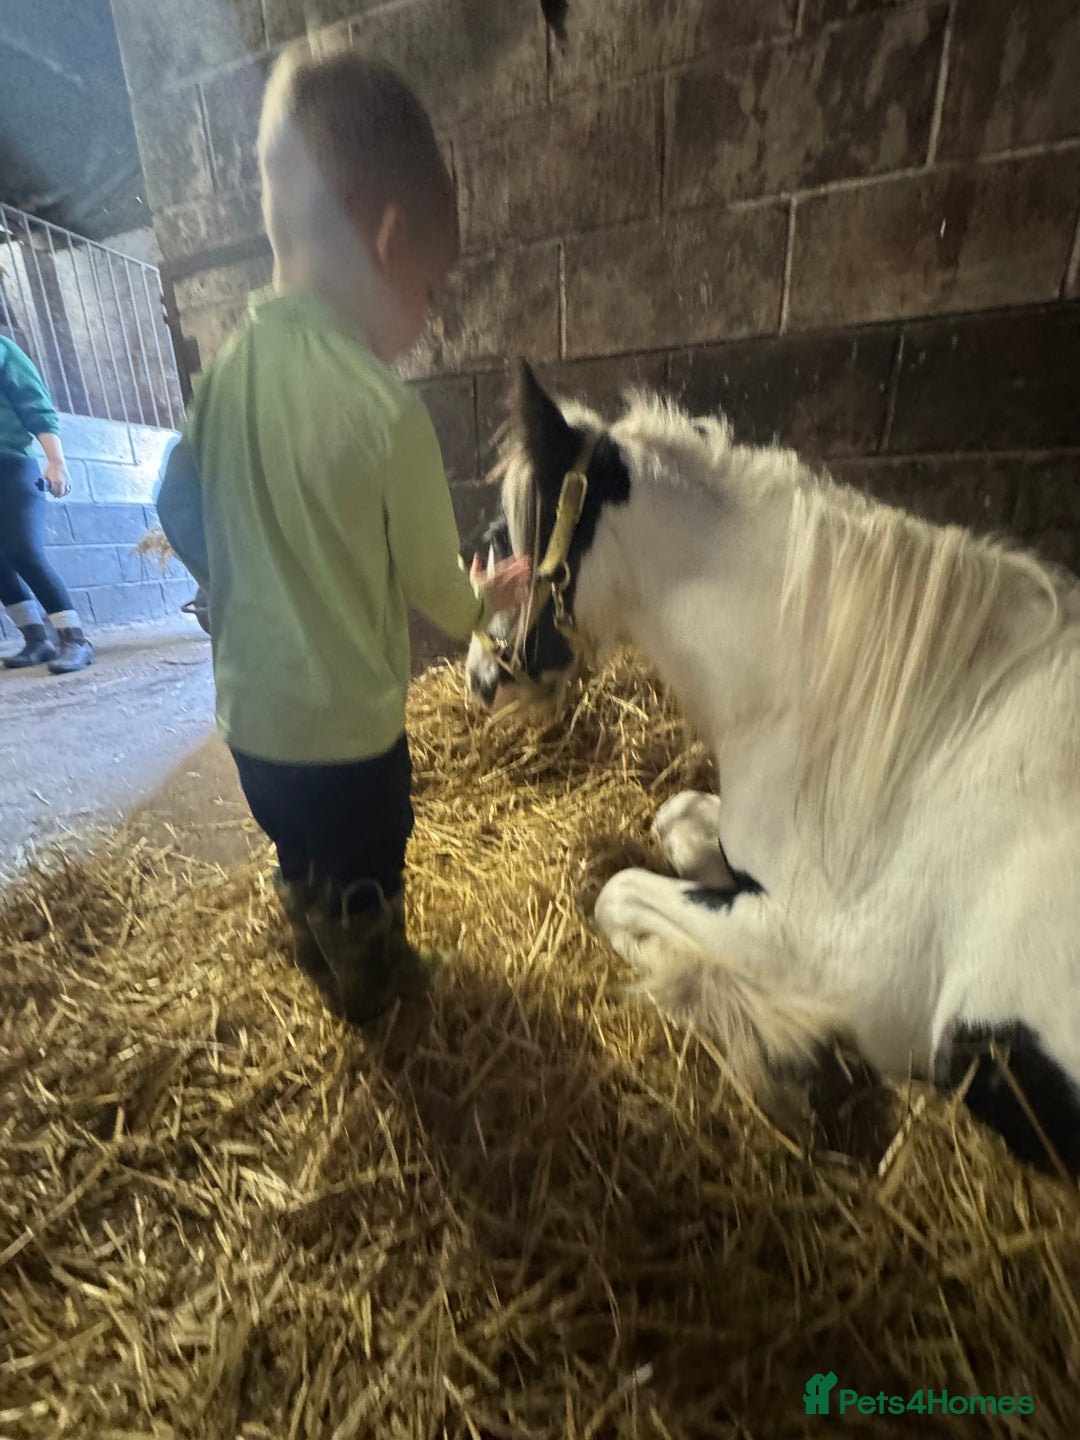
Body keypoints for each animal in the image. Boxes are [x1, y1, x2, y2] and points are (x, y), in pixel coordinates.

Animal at [464, 361, 1080, 1177]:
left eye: (503, 541)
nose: (477, 678)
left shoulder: (845, 972)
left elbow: (619, 894)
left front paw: (764, 1051)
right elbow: (680, 824)